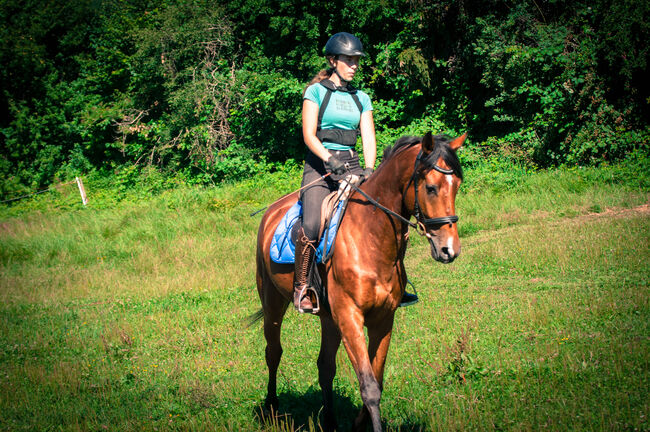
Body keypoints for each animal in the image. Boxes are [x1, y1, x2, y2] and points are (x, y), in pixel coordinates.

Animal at [252, 132, 460, 432]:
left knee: (325, 366)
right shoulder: (350, 316)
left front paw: (358, 424)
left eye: (457, 186)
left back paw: (329, 422)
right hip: (273, 302)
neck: (371, 237)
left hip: (329, 317)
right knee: (273, 352)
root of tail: (272, 210)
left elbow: (377, 379)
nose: (449, 249)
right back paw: (272, 408)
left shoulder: (382, 319)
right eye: (431, 188)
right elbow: (369, 386)